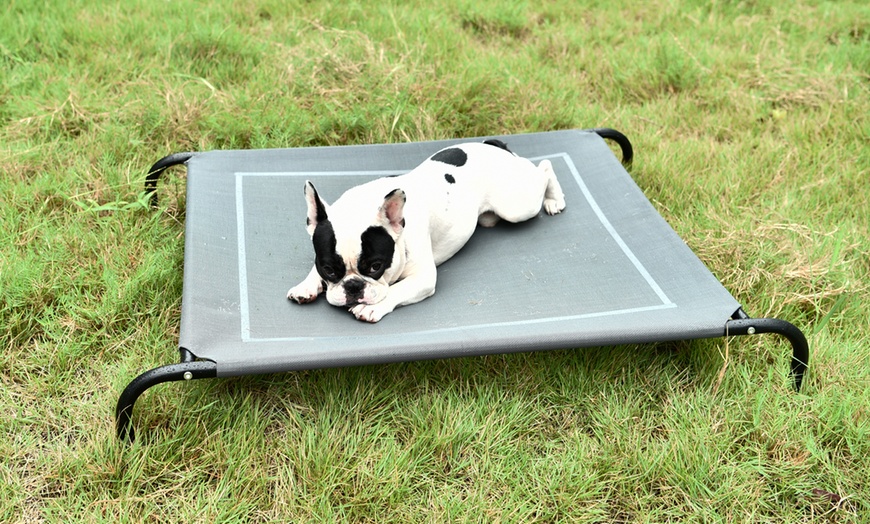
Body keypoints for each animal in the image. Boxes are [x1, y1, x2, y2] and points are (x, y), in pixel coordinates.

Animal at [290, 141, 568, 324]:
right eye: (329, 269)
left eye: (375, 266)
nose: (353, 287)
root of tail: (496, 146)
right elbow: (313, 270)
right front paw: (306, 285)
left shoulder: (423, 278)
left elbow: (396, 289)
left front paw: (373, 308)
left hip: (517, 205)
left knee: (544, 167)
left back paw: (554, 199)